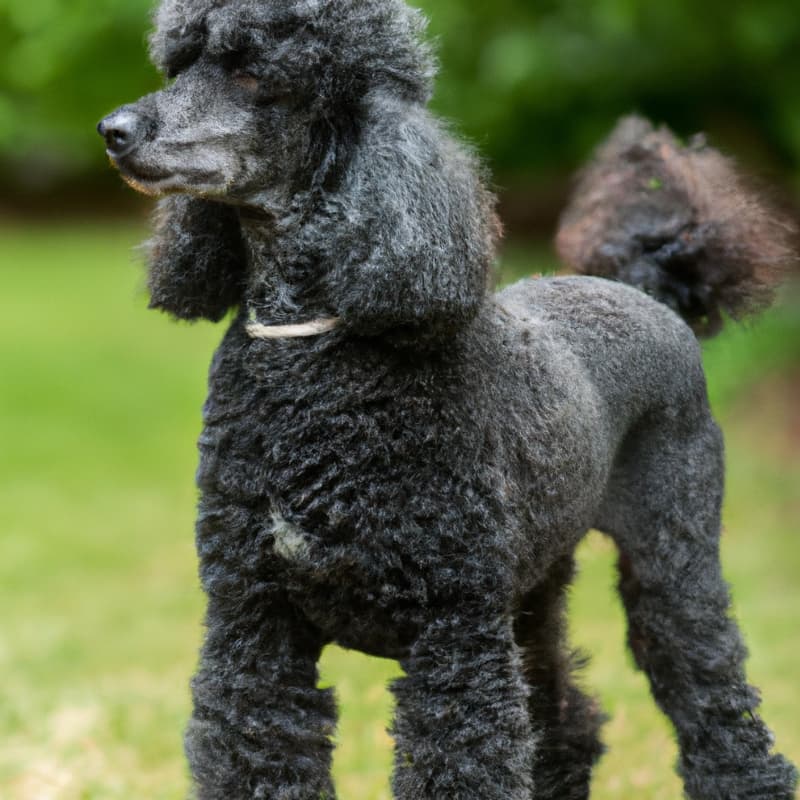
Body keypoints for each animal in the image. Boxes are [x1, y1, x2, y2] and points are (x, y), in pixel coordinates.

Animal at [97, 3, 796, 796]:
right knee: (562, 720)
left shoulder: (453, 630)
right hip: (533, 591)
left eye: (249, 71)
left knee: (713, 697)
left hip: (671, 560)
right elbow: (256, 751)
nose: (114, 131)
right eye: (180, 65)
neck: (311, 348)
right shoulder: (254, 619)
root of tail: (646, 292)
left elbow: (463, 762)